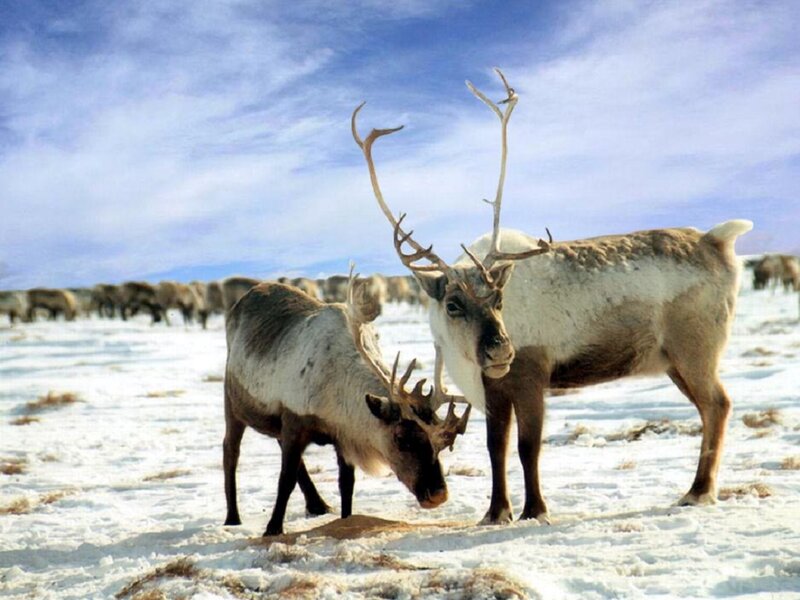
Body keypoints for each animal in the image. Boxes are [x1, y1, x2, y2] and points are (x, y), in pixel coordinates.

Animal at [223, 269, 470, 536]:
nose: (439, 494)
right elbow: (285, 479)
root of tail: (243, 299)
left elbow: (346, 484)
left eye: (443, 445)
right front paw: (272, 529)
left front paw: (345, 518)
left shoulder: (344, 434)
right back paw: (232, 517)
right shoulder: (295, 420)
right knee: (230, 451)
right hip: (232, 400)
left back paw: (318, 505)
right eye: (401, 439)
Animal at [353, 68, 753, 525]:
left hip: (696, 349)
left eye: (499, 298)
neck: (463, 356)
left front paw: (535, 511)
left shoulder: (531, 373)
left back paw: (698, 491)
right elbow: (495, 447)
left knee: (718, 404)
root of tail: (717, 240)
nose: (500, 349)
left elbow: (528, 446)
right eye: (453, 304)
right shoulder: (493, 387)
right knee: (709, 407)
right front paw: (495, 513)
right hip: (673, 361)